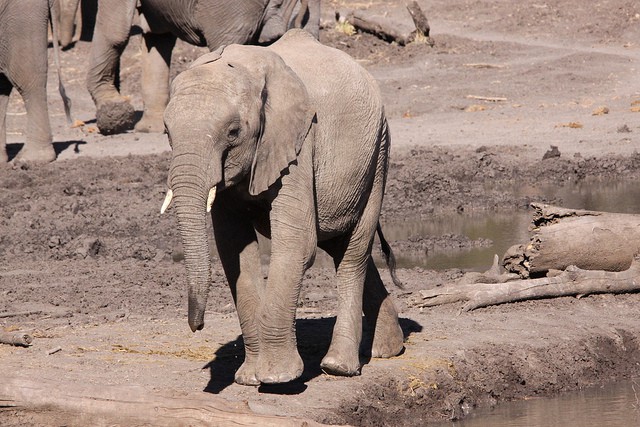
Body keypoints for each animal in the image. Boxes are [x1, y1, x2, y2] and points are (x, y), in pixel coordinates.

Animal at [162, 28, 408, 386]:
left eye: (233, 132)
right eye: (166, 132)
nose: (197, 325)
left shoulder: (298, 143)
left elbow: (296, 245)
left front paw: (278, 379)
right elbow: (235, 252)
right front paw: (248, 378)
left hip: (378, 153)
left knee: (353, 252)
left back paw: (339, 366)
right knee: (338, 244)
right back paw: (388, 349)